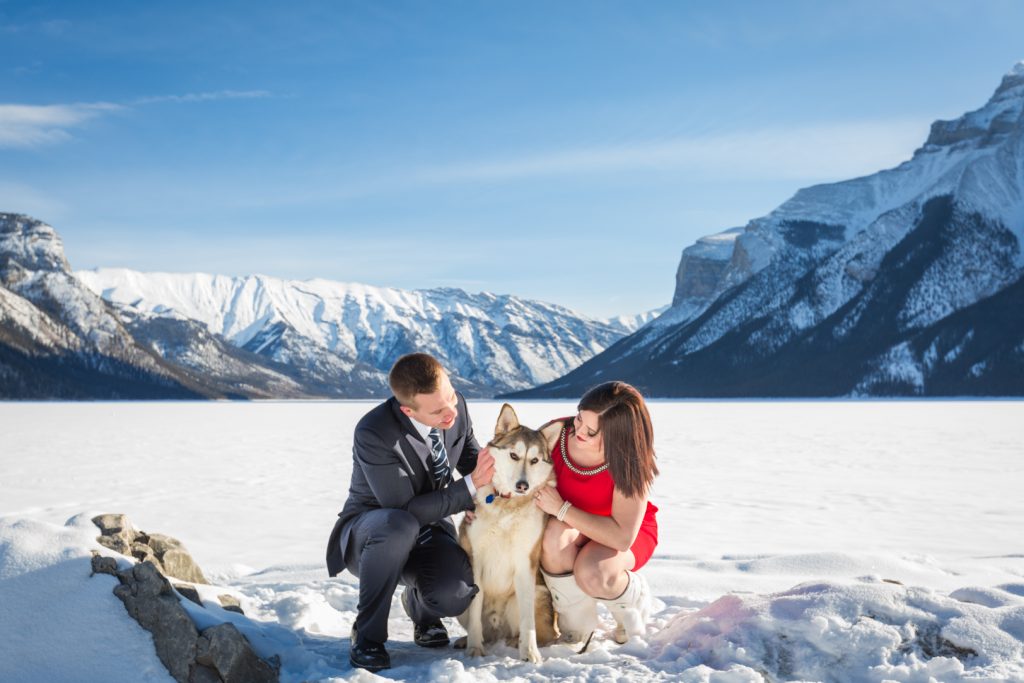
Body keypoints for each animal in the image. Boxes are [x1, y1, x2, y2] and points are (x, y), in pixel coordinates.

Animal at [460, 405, 565, 663]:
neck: (507, 505)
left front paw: (530, 652)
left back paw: (514, 641)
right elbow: (475, 607)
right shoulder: (475, 560)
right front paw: (474, 649)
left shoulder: (525, 562)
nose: (522, 485)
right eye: (514, 456)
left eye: (534, 460)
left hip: (537, 594)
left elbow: (529, 622)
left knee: (545, 633)